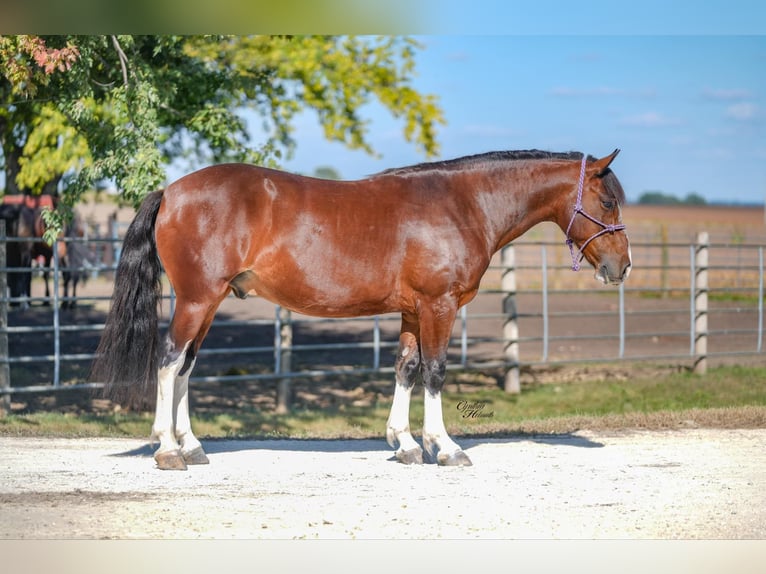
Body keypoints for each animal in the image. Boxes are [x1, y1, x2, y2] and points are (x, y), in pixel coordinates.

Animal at [91, 149, 631, 471]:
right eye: (607, 202)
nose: (621, 267)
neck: (462, 204)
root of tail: (171, 191)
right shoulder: (438, 305)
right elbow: (436, 371)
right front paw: (446, 447)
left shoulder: (413, 310)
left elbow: (406, 368)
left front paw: (406, 444)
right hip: (198, 298)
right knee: (168, 362)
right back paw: (167, 450)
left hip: (208, 301)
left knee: (185, 366)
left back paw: (193, 445)